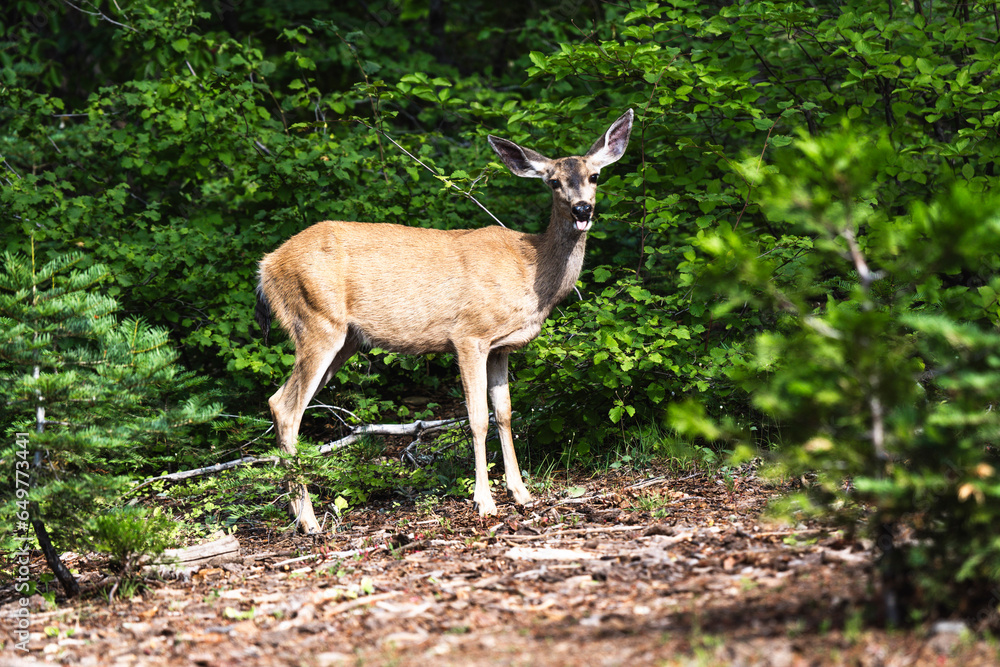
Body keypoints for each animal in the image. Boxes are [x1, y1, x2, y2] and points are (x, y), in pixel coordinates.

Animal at [258, 112, 632, 536]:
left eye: (595, 175)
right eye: (553, 181)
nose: (582, 210)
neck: (531, 268)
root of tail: (265, 267)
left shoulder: (502, 347)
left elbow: (505, 413)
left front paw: (521, 493)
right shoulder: (469, 335)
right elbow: (476, 418)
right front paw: (485, 502)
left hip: (346, 339)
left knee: (279, 402)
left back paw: (295, 513)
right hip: (316, 322)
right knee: (287, 408)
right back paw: (308, 520)